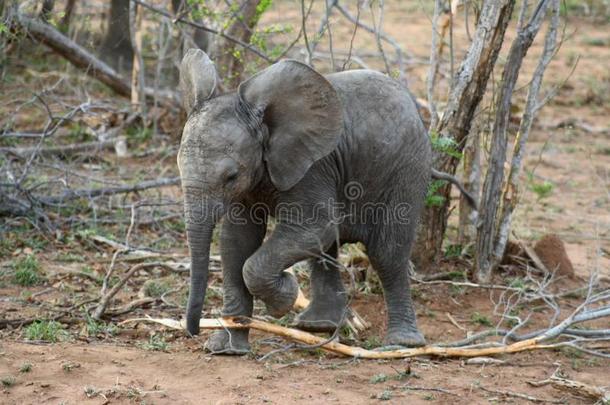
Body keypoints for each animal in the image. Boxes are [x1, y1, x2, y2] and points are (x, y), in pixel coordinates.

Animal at [175, 48, 470, 354]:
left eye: (231, 176)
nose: (193, 331)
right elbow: (237, 241)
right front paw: (226, 349)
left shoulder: (313, 168)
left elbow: (313, 228)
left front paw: (284, 299)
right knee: (326, 249)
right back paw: (319, 327)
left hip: (407, 169)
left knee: (386, 253)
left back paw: (401, 343)